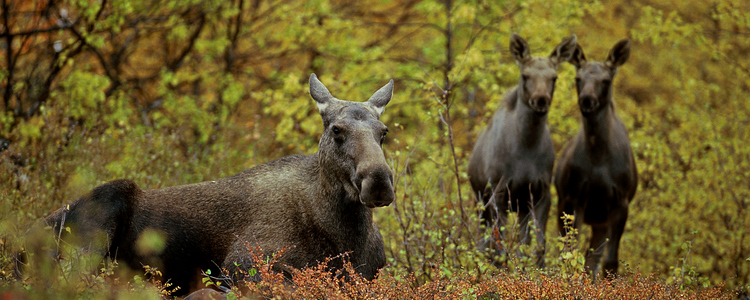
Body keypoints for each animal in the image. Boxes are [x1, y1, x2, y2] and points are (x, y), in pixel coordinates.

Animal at [14, 73, 396, 296]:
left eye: (383, 132)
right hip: (100, 217)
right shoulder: (243, 264)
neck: (343, 236)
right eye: (337, 130)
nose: (378, 181)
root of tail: (18, 243)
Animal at [468, 33, 580, 268]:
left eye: (554, 77)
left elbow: (537, 247)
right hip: (480, 200)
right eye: (525, 75)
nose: (540, 99)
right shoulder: (499, 192)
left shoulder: (540, 193)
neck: (526, 149)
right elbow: (500, 249)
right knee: (482, 243)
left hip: (520, 208)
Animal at [560, 38, 640, 278]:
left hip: (600, 220)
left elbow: (610, 262)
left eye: (605, 80)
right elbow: (570, 252)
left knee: (593, 258)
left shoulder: (621, 202)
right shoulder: (574, 197)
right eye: (578, 78)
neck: (598, 158)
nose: (587, 100)